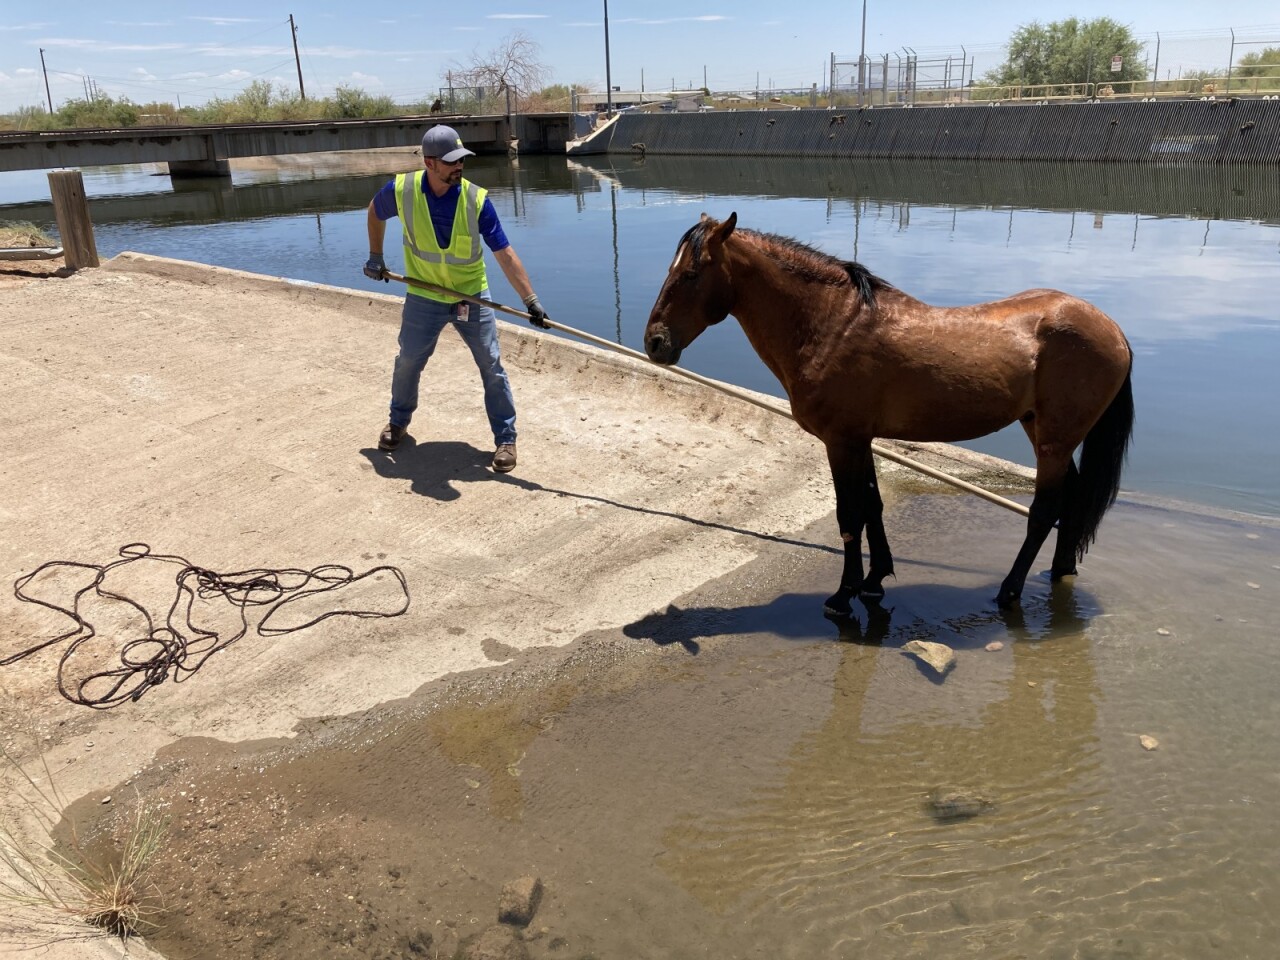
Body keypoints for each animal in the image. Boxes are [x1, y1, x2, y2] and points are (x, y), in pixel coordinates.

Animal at [643, 213, 1134, 615]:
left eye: (690, 274)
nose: (655, 343)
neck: (833, 326)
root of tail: (1110, 327)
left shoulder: (841, 442)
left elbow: (849, 515)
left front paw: (844, 594)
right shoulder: (861, 440)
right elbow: (872, 506)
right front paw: (875, 580)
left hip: (1054, 440)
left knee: (1044, 510)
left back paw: (1010, 590)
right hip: (1045, 433)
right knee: (1072, 498)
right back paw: (1060, 570)